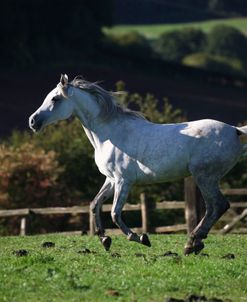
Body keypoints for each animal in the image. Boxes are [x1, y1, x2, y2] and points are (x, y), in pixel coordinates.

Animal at [28, 74, 247, 254]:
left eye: (55, 99)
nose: (32, 121)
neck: (109, 134)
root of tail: (234, 130)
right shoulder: (110, 179)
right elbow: (95, 204)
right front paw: (104, 239)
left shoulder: (123, 181)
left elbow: (115, 213)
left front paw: (140, 237)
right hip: (205, 178)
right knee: (216, 207)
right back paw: (194, 243)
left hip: (204, 176)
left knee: (217, 205)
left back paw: (192, 242)